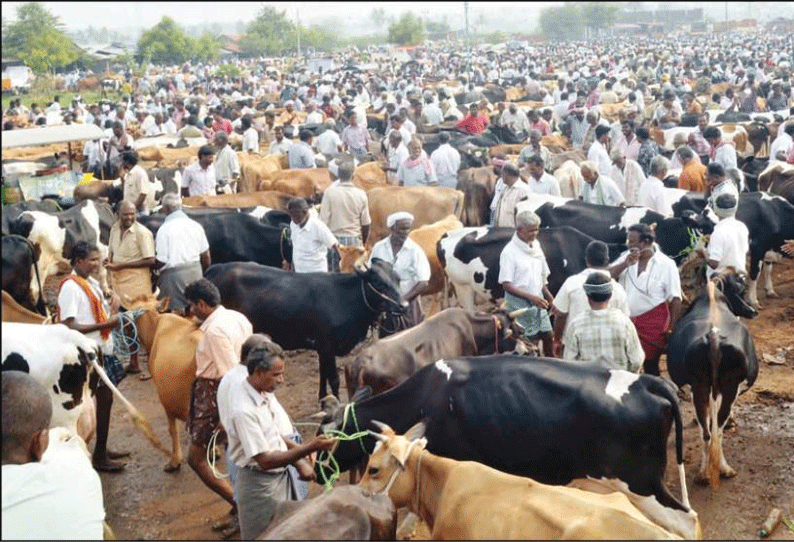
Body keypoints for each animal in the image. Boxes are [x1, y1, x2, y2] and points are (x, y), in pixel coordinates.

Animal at [204, 260, 402, 400]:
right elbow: (334, 379)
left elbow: (323, 374)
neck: (344, 298)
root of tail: (215, 268)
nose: (403, 305)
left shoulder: (322, 348)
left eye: (398, 279)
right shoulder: (327, 345)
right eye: (377, 282)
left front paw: (323, 399)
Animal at [664, 274, 756, 490]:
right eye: (740, 290)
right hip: (726, 387)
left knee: (708, 431)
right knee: (716, 431)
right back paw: (722, 469)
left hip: (701, 387)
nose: (753, 311)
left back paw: (704, 473)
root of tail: (713, 335)